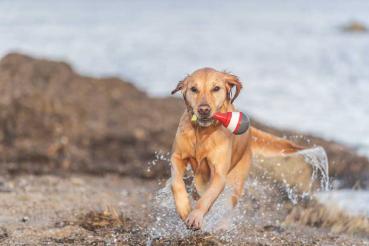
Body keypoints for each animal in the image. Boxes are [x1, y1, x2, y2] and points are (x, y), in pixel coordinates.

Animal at [170, 67, 302, 231]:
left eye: (216, 88)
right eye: (194, 89)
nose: (204, 110)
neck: (202, 133)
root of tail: (250, 130)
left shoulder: (219, 174)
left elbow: (207, 197)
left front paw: (196, 216)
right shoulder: (177, 157)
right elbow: (176, 183)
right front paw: (183, 208)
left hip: (237, 181)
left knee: (228, 204)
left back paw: (222, 225)